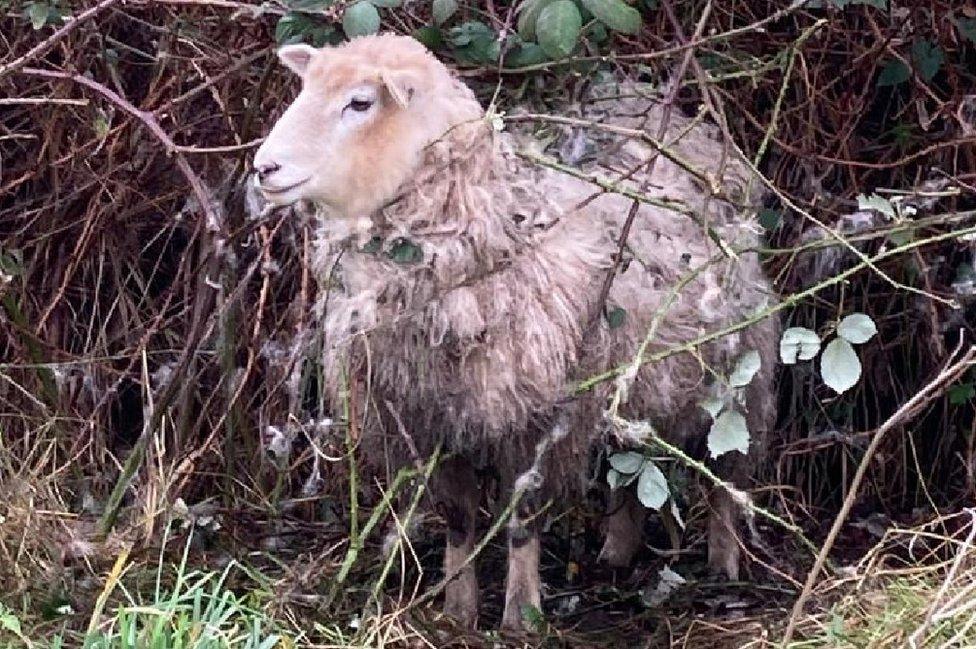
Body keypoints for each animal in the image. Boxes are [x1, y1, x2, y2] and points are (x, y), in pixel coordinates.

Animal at [252, 33, 776, 632]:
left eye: (360, 103)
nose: (264, 167)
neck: (493, 233)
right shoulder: (429, 417)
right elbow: (458, 517)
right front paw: (457, 611)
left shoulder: (540, 416)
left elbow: (523, 517)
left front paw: (521, 615)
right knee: (626, 465)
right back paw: (616, 554)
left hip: (741, 365)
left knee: (727, 473)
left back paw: (724, 564)